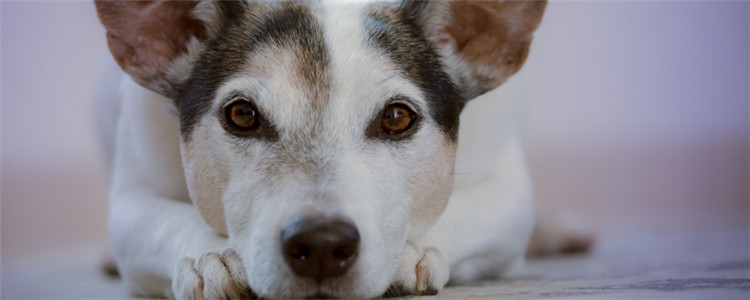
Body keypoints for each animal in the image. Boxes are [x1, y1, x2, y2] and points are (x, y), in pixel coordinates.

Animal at [94, 1, 592, 298]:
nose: (320, 243)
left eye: (397, 118)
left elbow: (465, 210)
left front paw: (411, 251)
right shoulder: (130, 198)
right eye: (242, 115)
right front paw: (210, 256)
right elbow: (159, 219)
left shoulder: (508, 193)